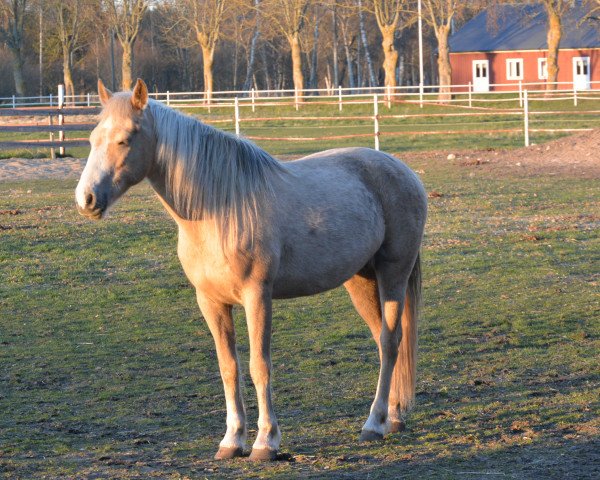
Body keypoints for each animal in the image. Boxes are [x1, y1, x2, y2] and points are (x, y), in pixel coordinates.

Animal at [75, 79, 426, 462]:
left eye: (125, 139)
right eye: (93, 138)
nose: (86, 199)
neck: (219, 208)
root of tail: (403, 171)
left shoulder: (258, 296)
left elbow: (260, 365)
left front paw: (266, 442)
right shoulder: (211, 302)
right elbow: (229, 367)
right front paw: (232, 440)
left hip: (393, 273)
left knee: (390, 342)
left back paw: (374, 424)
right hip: (360, 281)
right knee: (384, 341)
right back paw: (393, 416)